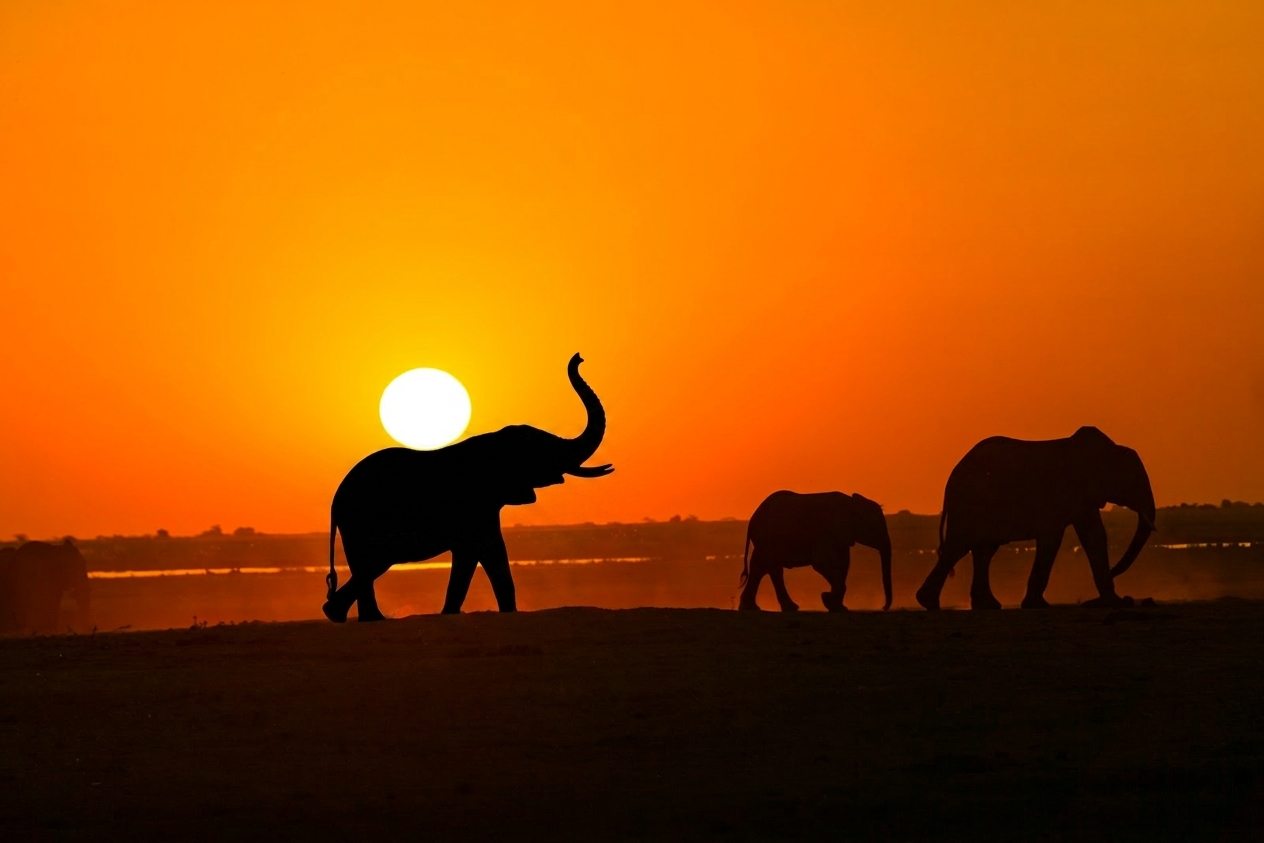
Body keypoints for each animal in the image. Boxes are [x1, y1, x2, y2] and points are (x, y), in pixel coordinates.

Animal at [323, 353, 612, 622]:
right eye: (543, 451)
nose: (579, 358)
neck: (495, 442)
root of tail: (336, 501)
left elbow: (484, 555)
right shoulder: (473, 504)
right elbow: (480, 551)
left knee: (368, 566)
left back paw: (358, 617)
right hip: (363, 522)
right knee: (375, 562)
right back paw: (346, 614)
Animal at [738, 491, 893, 613]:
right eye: (875, 527)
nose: (883, 608)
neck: (852, 503)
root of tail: (752, 519)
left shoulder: (841, 537)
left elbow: (843, 564)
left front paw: (837, 606)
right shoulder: (827, 531)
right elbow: (821, 563)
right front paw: (827, 599)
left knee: (761, 568)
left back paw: (752, 608)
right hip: (768, 539)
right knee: (771, 568)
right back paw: (789, 608)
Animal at [915, 426, 1155, 611]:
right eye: (1134, 480)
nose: (1130, 598)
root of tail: (951, 478)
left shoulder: (1083, 497)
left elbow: (1095, 536)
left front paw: (1115, 602)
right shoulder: (1061, 492)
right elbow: (1052, 539)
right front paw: (1037, 605)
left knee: (983, 551)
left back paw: (986, 606)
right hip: (969, 504)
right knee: (959, 547)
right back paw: (929, 603)